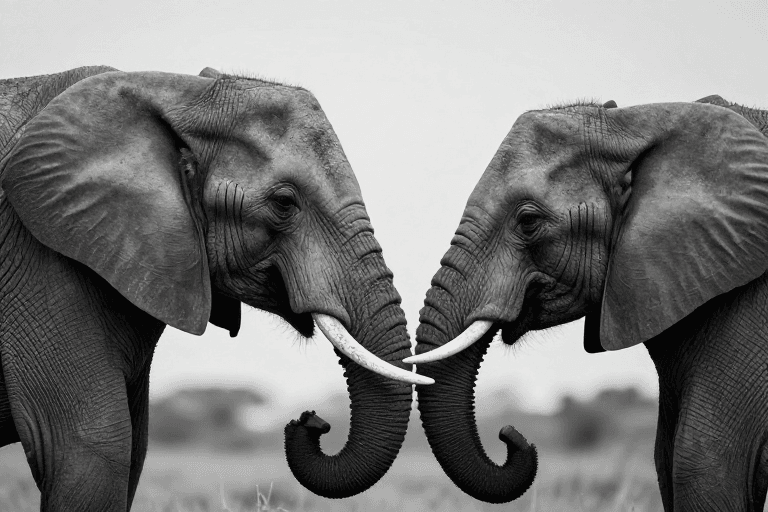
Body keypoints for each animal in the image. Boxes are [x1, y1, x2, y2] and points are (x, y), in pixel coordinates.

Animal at [0, 65, 429, 511]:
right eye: (284, 203)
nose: (310, 420)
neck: (179, 91)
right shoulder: (44, 257)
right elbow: (91, 452)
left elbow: (133, 450)